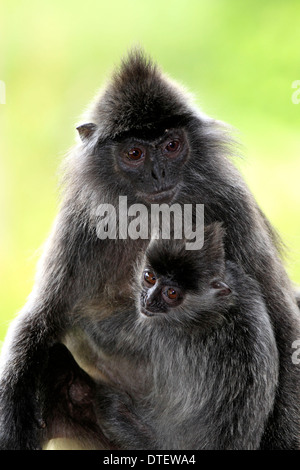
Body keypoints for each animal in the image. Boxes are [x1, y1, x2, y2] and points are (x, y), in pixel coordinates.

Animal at [85, 224, 278, 452]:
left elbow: (97, 333)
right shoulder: (245, 286)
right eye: (150, 277)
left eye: (172, 293)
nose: (148, 300)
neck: (219, 309)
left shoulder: (163, 333)